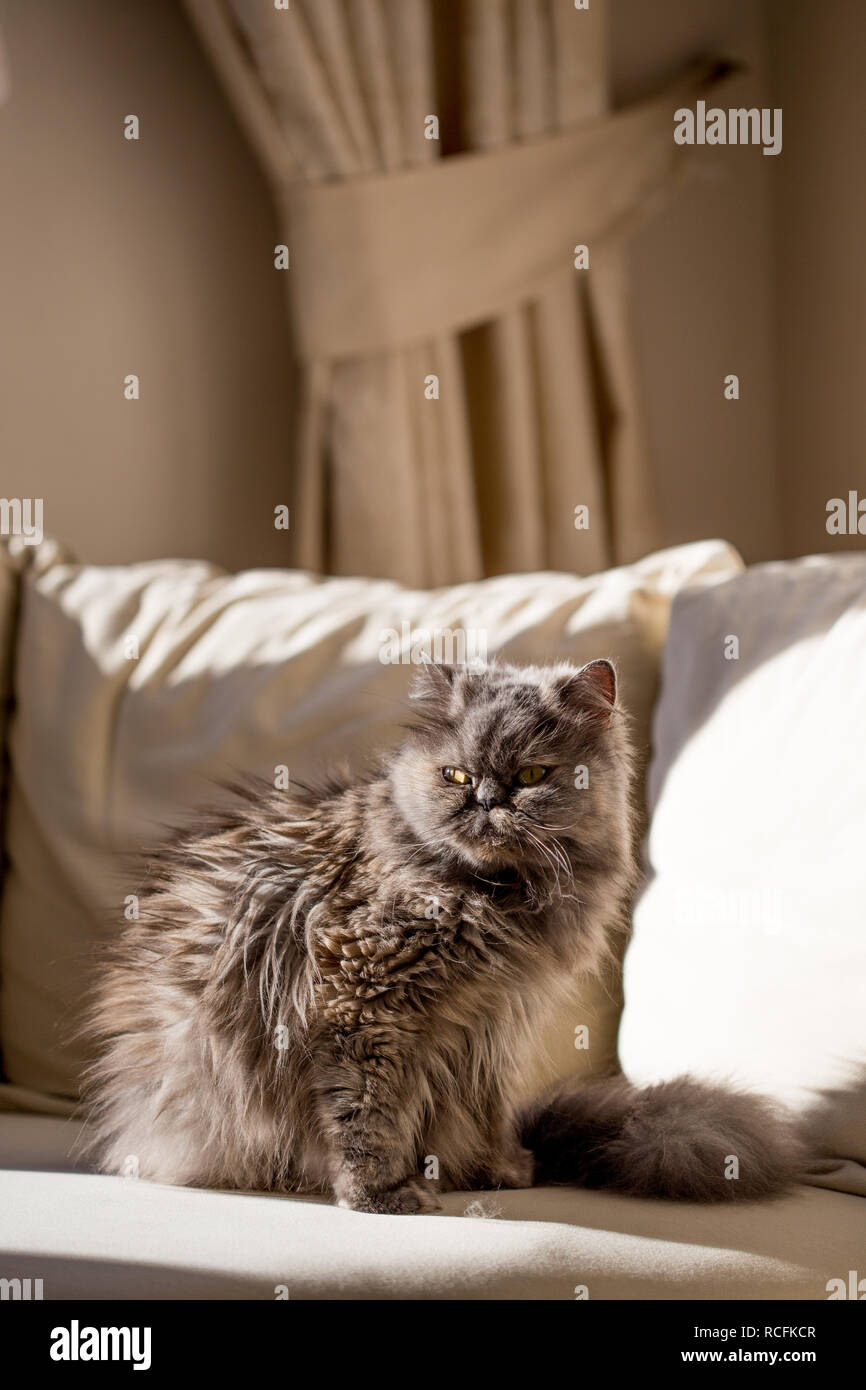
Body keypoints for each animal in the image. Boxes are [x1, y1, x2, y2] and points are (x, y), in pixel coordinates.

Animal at [84, 656, 800, 1212]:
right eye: (455, 775)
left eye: (532, 777)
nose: (485, 799)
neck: (490, 896)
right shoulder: (362, 999)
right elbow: (367, 1115)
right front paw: (380, 1195)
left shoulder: (490, 1025)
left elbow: (484, 1109)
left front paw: (496, 1170)